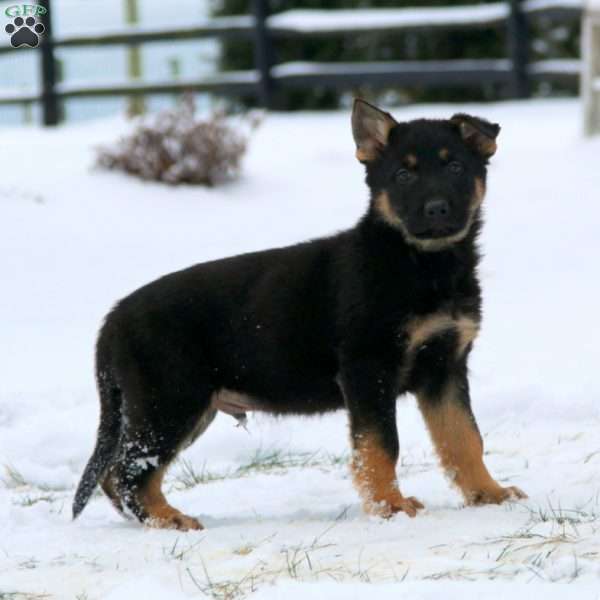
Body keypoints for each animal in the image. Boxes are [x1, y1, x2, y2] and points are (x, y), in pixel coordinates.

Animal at [74, 99, 524, 528]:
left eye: (455, 167)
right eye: (402, 175)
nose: (436, 209)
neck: (423, 264)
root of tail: (112, 319)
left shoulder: (446, 368)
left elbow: (464, 437)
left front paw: (489, 494)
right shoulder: (368, 369)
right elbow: (382, 445)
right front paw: (389, 506)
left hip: (180, 407)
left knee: (118, 473)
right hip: (170, 400)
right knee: (129, 471)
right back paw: (167, 519)